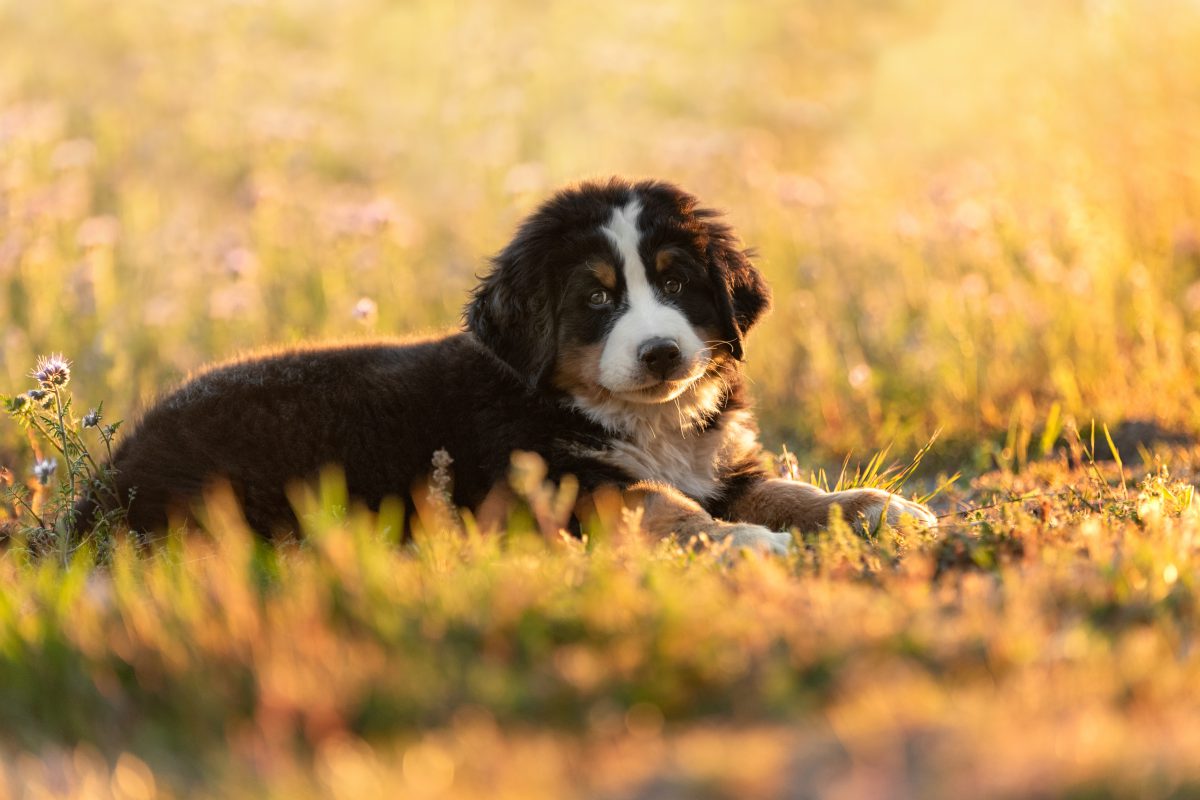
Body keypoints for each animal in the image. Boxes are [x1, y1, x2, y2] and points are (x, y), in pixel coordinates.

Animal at [88, 176, 940, 551]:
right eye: (595, 299)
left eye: (675, 283)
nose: (662, 352)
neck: (648, 421)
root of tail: (108, 478)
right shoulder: (564, 477)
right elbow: (663, 505)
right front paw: (741, 543)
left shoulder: (721, 465)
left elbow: (790, 490)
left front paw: (877, 507)